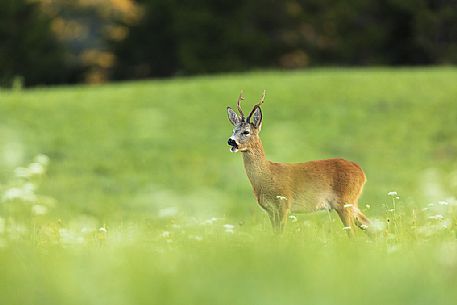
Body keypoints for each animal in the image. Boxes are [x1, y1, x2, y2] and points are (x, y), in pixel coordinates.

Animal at [226, 90, 368, 233]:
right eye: (233, 130)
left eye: (246, 132)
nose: (231, 141)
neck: (267, 176)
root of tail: (361, 172)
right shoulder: (270, 210)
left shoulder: (284, 204)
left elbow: (281, 234)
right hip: (351, 202)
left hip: (345, 201)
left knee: (354, 232)